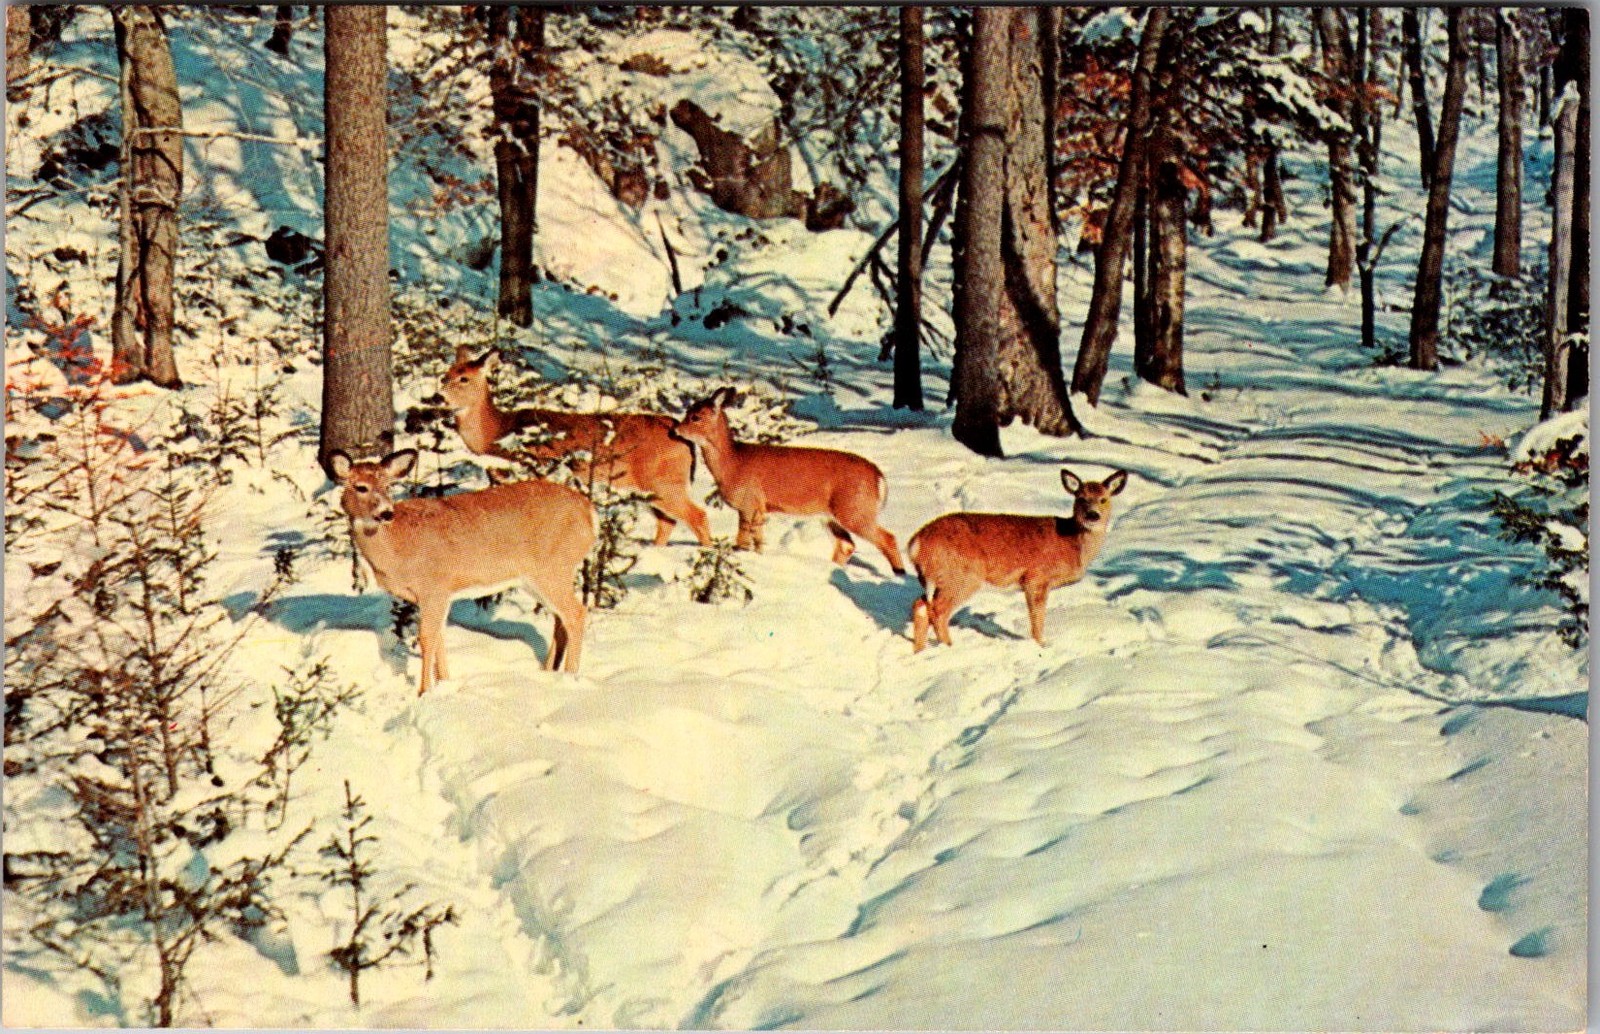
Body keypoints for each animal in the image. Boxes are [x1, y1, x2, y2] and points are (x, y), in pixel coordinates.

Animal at [329, 449, 596, 694]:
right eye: (361, 487)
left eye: (388, 486)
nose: (386, 512)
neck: (397, 546)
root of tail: (590, 513)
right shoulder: (436, 595)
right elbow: (438, 637)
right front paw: (445, 684)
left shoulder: (434, 587)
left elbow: (427, 638)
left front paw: (424, 692)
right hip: (538, 577)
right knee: (561, 619)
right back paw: (549, 673)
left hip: (552, 569)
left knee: (576, 613)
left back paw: (570, 678)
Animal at [438, 346, 711, 547]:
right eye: (445, 376)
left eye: (464, 378)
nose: (438, 397)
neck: (497, 433)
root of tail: (679, 432)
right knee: (668, 522)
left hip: (664, 479)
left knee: (697, 516)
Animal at [672, 387, 906, 575]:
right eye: (687, 412)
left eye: (696, 417)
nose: (675, 430)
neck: (733, 463)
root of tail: (879, 477)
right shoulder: (756, 508)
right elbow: (757, 543)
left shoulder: (749, 503)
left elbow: (744, 542)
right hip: (831, 515)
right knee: (846, 545)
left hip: (855, 509)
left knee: (888, 538)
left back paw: (899, 575)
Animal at [908, 468, 1128, 653]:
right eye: (1081, 498)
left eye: (1104, 499)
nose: (1093, 515)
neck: (1071, 541)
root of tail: (916, 542)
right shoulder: (1036, 577)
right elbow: (1037, 617)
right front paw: (1042, 645)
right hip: (961, 576)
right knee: (938, 611)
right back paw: (950, 647)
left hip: (936, 578)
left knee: (921, 605)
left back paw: (921, 650)